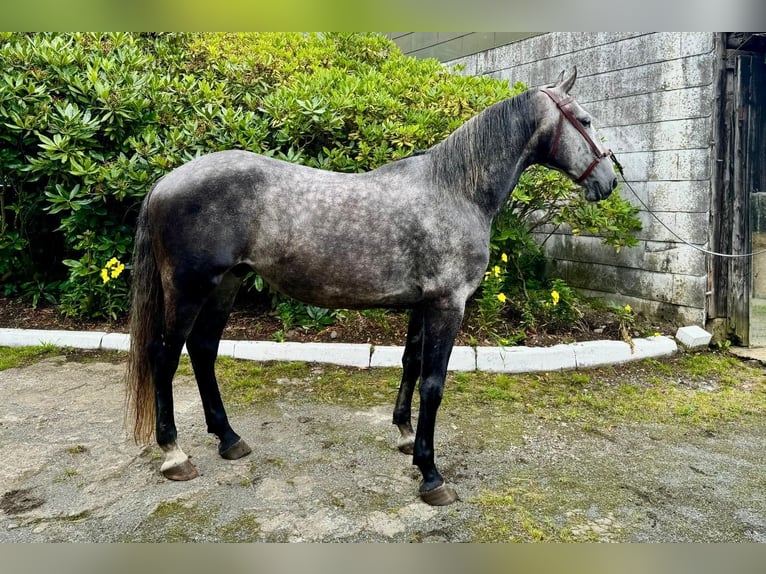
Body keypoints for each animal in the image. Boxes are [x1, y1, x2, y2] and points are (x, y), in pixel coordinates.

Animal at [124, 70, 616, 506]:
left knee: (203, 351)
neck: (456, 190)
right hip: (189, 289)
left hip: (225, 285)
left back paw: (229, 438)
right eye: (585, 120)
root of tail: (165, 181)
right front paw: (431, 475)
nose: (609, 181)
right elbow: (434, 384)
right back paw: (175, 455)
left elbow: (411, 364)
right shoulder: (448, 304)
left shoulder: (424, 303)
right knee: (165, 356)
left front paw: (405, 436)